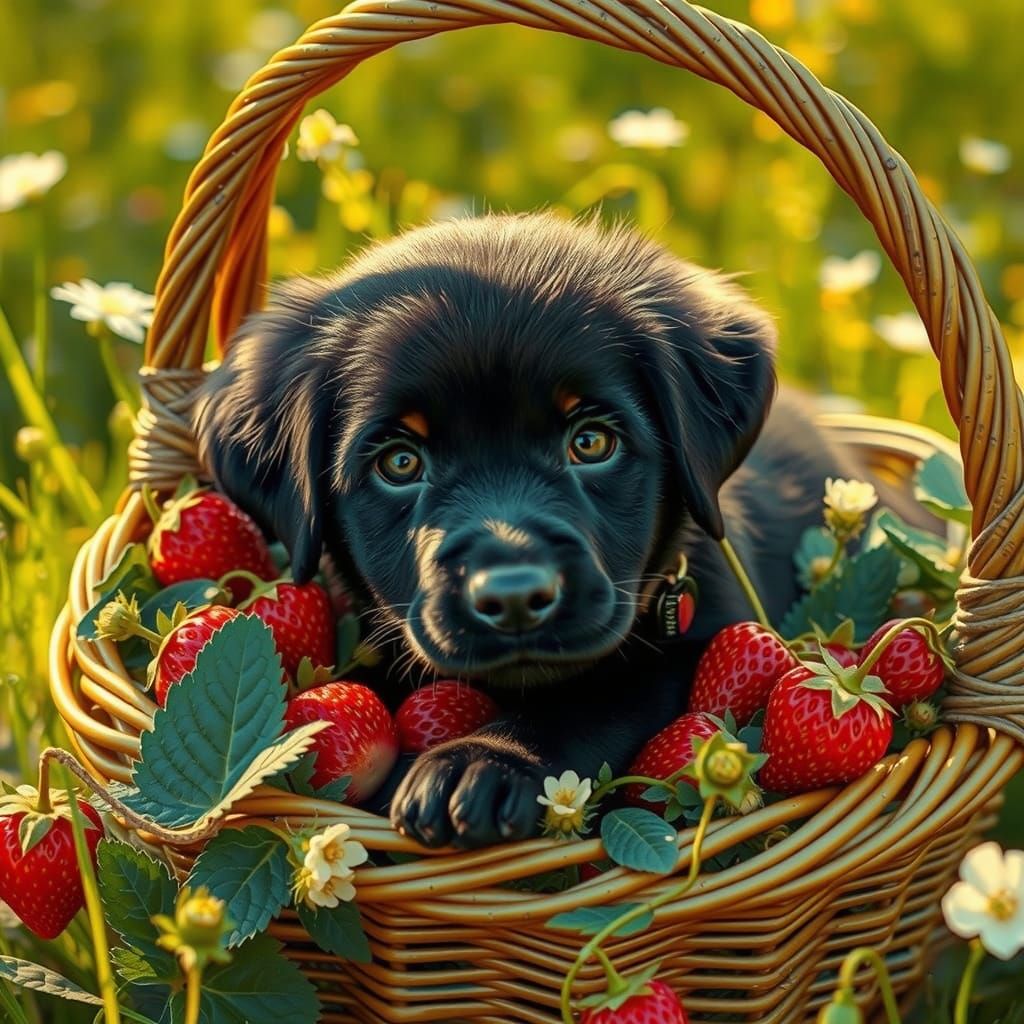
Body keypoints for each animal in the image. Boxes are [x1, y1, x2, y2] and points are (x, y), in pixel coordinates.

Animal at [195, 214, 860, 847]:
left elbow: (592, 701)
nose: (513, 597)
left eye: (591, 443)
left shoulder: (697, 644)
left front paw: (478, 764)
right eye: (399, 463)